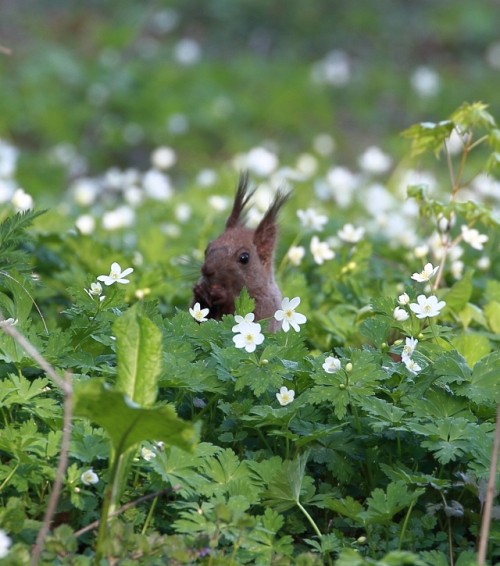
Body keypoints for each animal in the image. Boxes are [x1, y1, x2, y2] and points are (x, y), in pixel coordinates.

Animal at [194, 173, 292, 332]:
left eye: (244, 258)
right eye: (207, 249)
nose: (207, 271)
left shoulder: (265, 306)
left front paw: (223, 295)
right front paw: (200, 290)